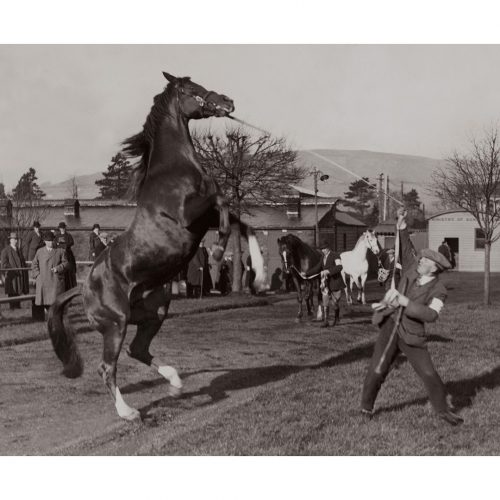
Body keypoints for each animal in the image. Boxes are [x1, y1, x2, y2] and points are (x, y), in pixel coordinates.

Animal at [48, 71, 268, 422]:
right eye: (192, 89)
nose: (228, 101)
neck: (174, 171)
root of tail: (83, 285)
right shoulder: (190, 215)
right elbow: (221, 197)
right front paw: (218, 254)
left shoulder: (204, 218)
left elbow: (244, 225)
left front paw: (259, 278)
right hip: (116, 322)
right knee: (107, 367)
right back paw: (128, 412)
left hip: (155, 312)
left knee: (138, 350)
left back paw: (176, 383)